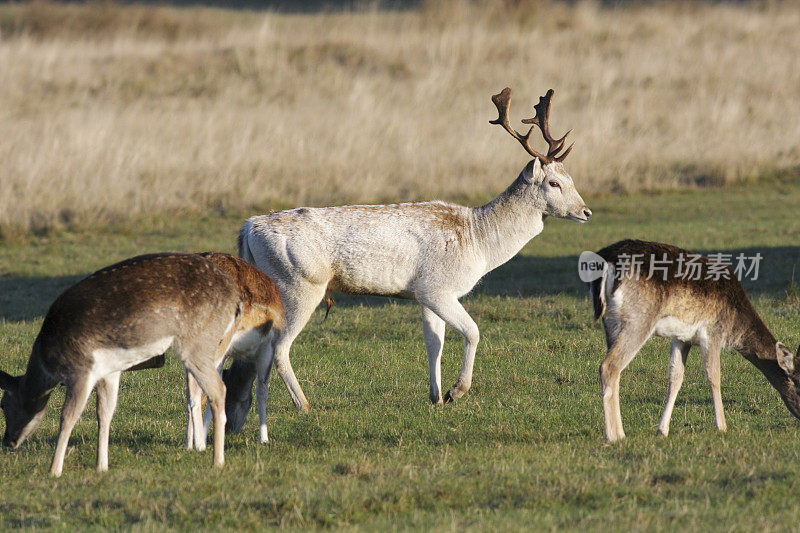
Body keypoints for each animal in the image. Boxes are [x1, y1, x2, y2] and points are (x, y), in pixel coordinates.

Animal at [0, 251, 284, 476]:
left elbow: (68, 415)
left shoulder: (82, 368)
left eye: (3, 403)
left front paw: (54, 470)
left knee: (218, 389)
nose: (8, 441)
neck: (48, 360)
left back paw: (217, 460)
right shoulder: (110, 371)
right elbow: (105, 413)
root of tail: (236, 299)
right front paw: (101, 466)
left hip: (198, 344)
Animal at [588, 240, 800, 440]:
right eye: (799, 384)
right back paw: (615, 436)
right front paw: (722, 427)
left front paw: (662, 430)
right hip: (638, 319)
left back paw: (619, 431)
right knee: (609, 366)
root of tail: (607, 260)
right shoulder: (713, 332)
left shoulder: (682, 338)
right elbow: (714, 376)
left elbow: (676, 377)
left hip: (611, 322)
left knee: (616, 370)